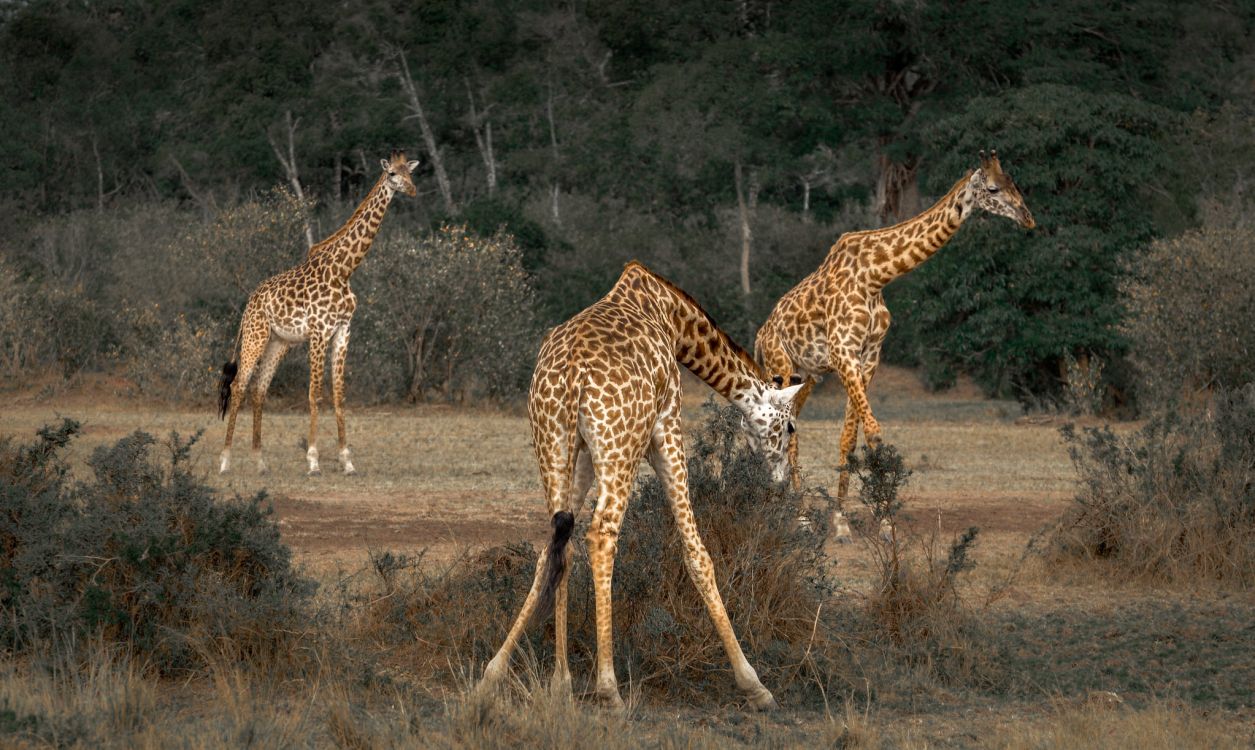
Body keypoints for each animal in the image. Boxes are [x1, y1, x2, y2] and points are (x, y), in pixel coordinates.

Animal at [217, 151, 419, 475]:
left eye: (410, 173)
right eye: (392, 174)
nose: (411, 190)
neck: (344, 270)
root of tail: (249, 302)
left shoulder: (343, 330)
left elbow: (338, 394)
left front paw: (347, 461)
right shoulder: (319, 331)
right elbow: (314, 393)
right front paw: (313, 460)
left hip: (279, 343)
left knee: (259, 390)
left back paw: (260, 462)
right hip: (255, 336)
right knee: (238, 386)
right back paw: (224, 461)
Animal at [477, 261, 803, 711]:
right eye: (789, 428)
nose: (780, 482)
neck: (671, 317)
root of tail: (572, 374)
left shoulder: (582, 452)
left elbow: (556, 552)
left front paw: (547, 681)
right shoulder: (667, 425)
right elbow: (697, 554)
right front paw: (754, 685)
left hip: (552, 443)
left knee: (558, 541)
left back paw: (519, 678)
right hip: (621, 446)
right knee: (601, 535)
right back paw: (609, 689)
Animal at [755, 150, 1035, 541]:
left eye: (1014, 182)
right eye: (993, 188)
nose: (1028, 219)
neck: (876, 276)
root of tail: (761, 334)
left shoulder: (868, 354)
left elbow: (850, 437)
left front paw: (845, 520)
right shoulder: (843, 351)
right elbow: (874, 431)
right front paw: (879, 520)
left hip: (806, 376)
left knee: (792, 424)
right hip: (779, 365)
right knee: (785, 430)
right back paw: (798, 517)